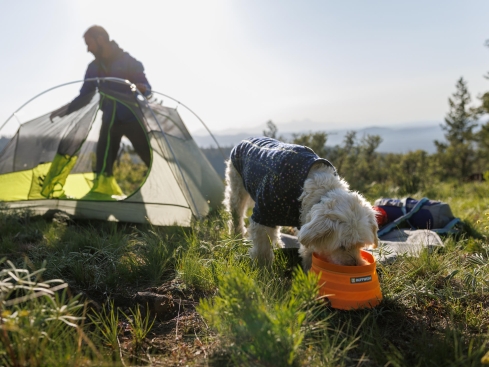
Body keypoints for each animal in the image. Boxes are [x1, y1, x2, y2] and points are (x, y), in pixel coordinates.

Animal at [223, 138, 380, 270]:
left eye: (360, 245)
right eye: (341, 246)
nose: (356, 265)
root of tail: (245, 139)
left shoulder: (304, 219)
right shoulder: (263, 216)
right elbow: (263, 250)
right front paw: (264, 271)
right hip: (237, 189)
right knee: (236, 216)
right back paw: (236, 237)